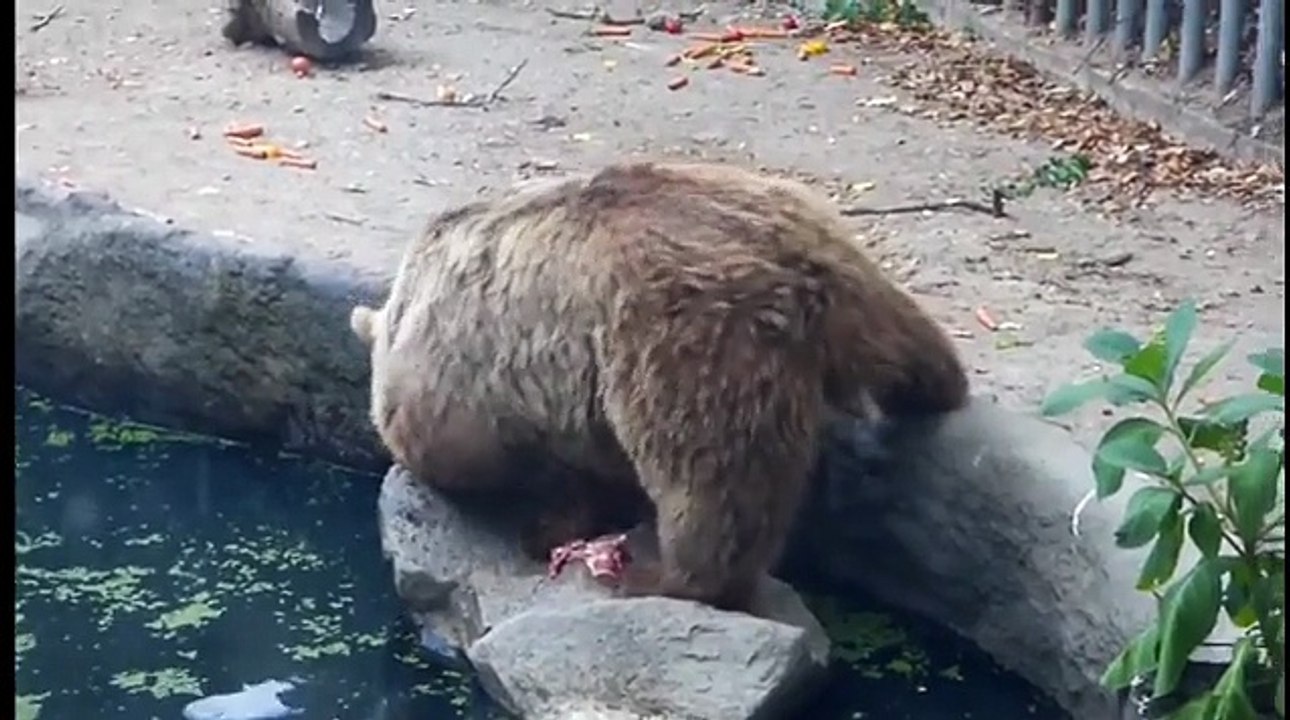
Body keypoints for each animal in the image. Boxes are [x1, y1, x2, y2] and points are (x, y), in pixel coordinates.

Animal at [350, 161, 970, 612]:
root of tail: (791, 272)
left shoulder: (459, 374)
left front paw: (539, 522)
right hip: (842, 262)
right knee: (910, 343)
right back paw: (937, 390)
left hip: (681, 343)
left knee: (710, 476)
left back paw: (668, 577)